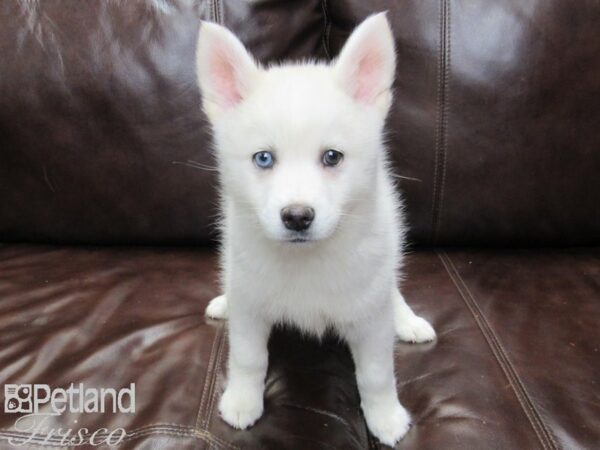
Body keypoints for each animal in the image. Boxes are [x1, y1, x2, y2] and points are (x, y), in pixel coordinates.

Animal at [197, 12, 436, 444]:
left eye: (332, 157)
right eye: (263, 158)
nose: (297, 216)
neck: (305, 259)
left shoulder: (370, 319)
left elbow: (376, 374)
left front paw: (385, 416)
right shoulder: (251, 306)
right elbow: (248, 357)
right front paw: (241, 399)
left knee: (392, 289)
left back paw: (407, 319)